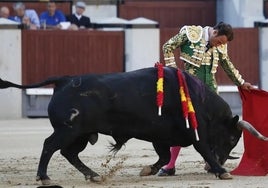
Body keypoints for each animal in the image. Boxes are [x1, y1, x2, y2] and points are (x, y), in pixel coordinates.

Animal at [1, 66, 266, 185]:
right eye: (232, 138)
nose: (219, 164)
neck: (200, 100)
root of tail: (64, 80)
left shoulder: (161, 137)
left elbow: (163, 156)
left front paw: (147, 170)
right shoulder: (195, 133)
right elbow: (203, 150)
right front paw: (222, 171)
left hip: (81, 134)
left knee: (69, 153)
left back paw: (94, 175)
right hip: (68, 130)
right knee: (49, 145)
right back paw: (44, 177)